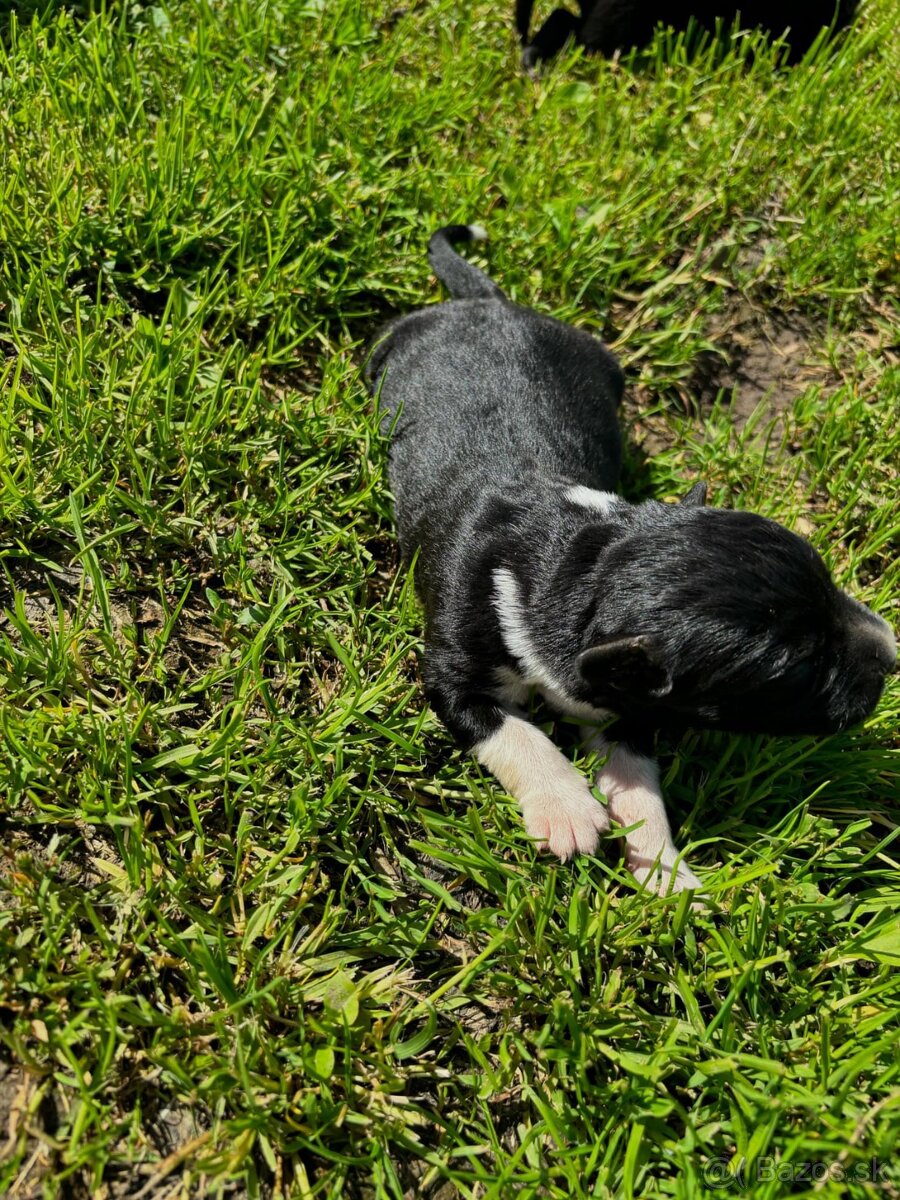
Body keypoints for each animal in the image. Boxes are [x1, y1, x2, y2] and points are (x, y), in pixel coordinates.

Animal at [369, 225, 897, 897]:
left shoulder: (632, 702)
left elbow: (639, 788)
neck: (577, 562)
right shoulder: (451, 668)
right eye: (796, 670)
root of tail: (487, 302)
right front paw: (568, 809)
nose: (894, 652)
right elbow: (514, 731)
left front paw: (665, 873)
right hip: (388, 350)